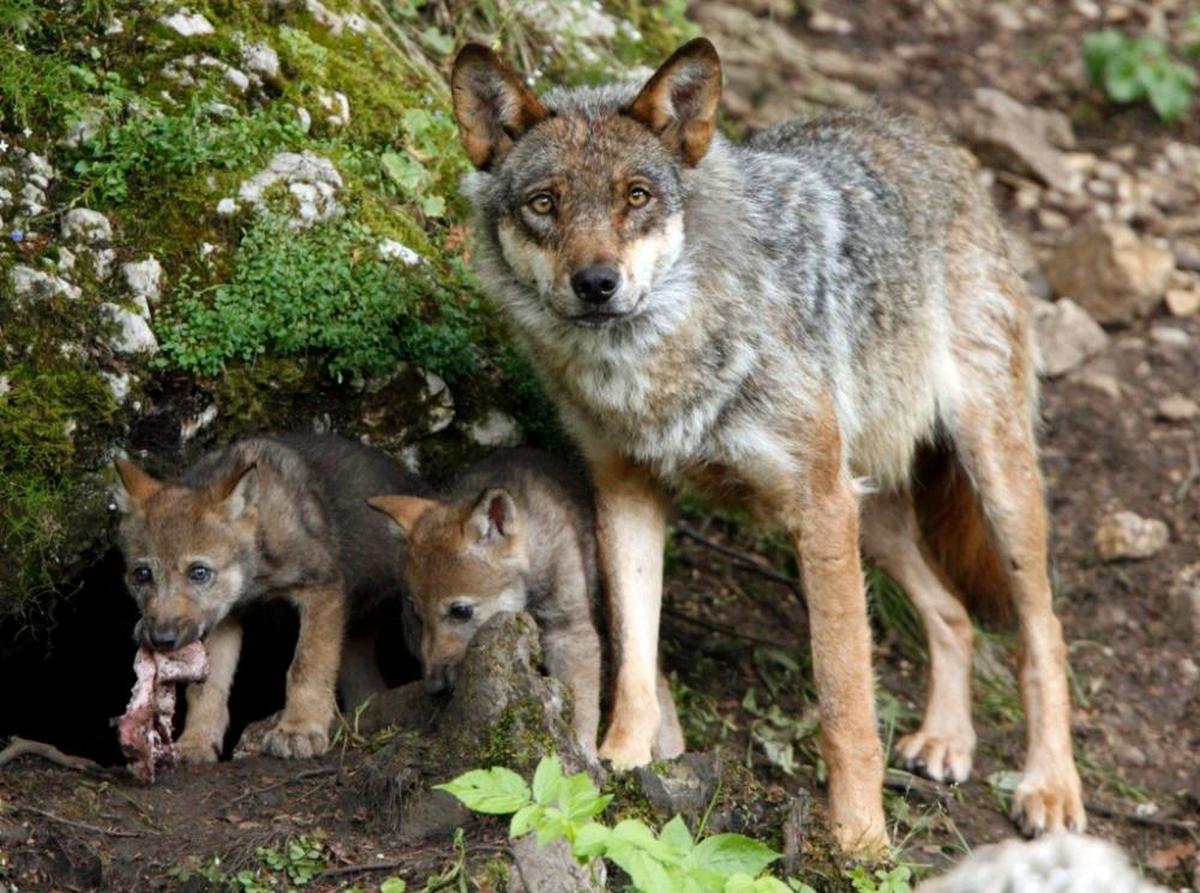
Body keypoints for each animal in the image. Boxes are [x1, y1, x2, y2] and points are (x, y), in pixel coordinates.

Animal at [451, 40, 1089, 849]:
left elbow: (845, 703)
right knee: (953, 615)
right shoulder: (627, 489)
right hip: (871, 515)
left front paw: (859, 840)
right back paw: (948, 739)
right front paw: (618, 765)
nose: (596, 283)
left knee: (1045, 632)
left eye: (637, 197)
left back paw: (1051, 786)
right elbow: (634, 656)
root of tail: (923, 134)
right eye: (544, 203)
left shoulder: (818, 508)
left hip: (988, 484)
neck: (654, 368)